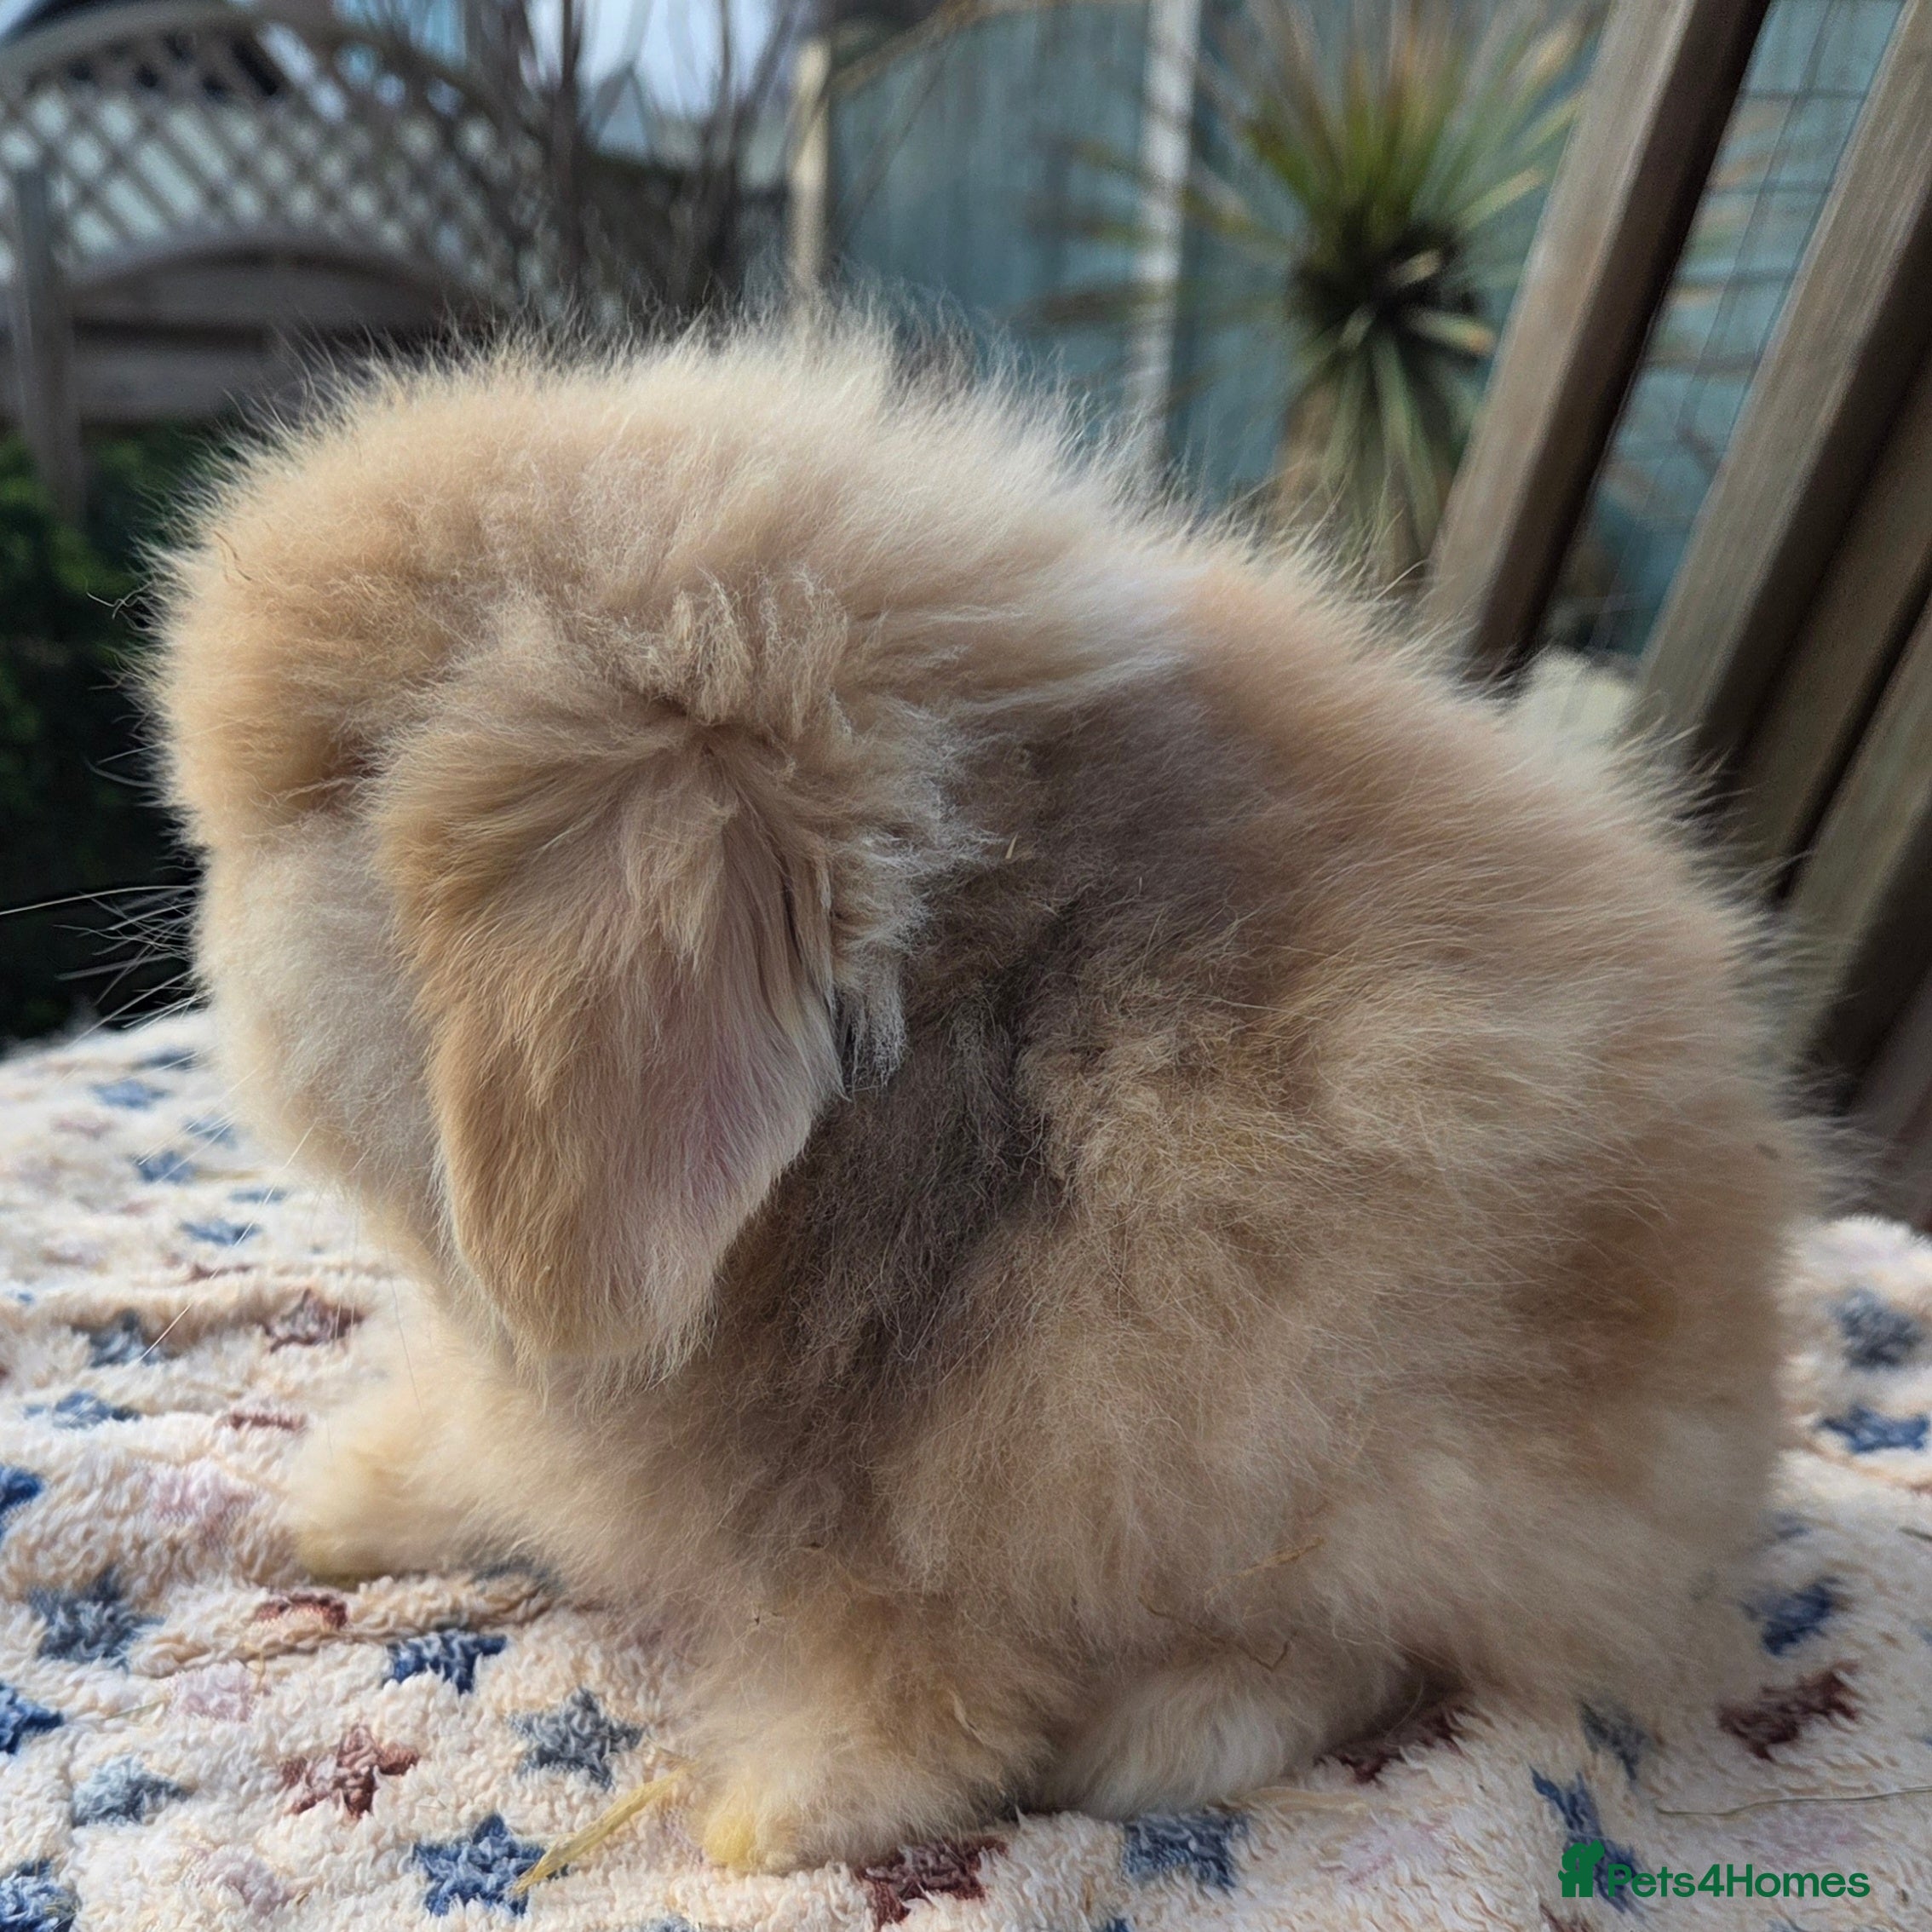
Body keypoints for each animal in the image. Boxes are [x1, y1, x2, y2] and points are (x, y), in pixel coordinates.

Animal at [155, 324, 1811, 1873]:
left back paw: (1167, 1731)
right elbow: (477, 1448)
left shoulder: (989, 1481)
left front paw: (780, 1816)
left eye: (339, 784)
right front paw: (332, 1505)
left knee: (1391, 1644)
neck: (942, 1048)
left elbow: (914, 1668)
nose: (198, 935)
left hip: (1401, 1468)